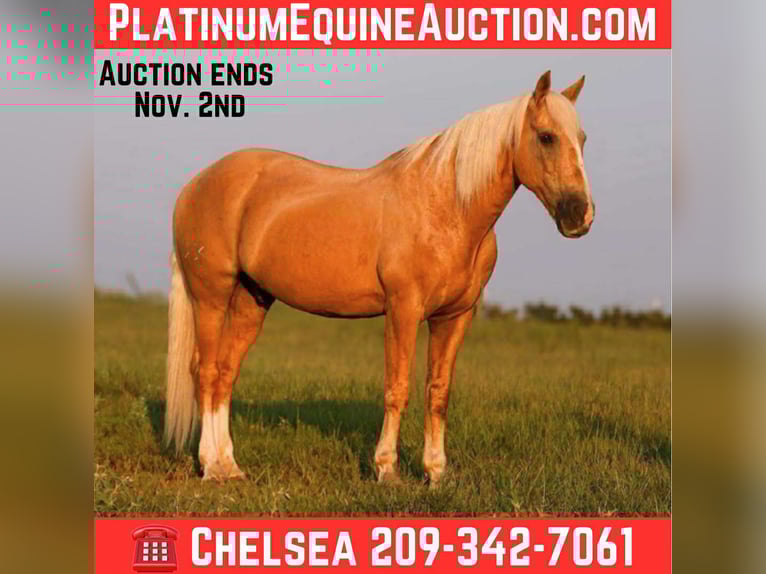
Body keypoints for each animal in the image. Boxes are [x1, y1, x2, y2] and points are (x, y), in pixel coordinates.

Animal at [165, 70, 594, 485]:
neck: (447, 207)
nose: (580, 216)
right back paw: (210, 467)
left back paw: (229, 466)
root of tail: (194, 184)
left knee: (225, 373)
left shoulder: (454, 317)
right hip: (211, 296)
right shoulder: (403, 309)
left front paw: (436, 473)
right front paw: (387, 470)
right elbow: (398, 387)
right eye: (546, 137)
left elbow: (438, 392)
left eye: (582, 139)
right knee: (205, 372)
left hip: (251, 299)